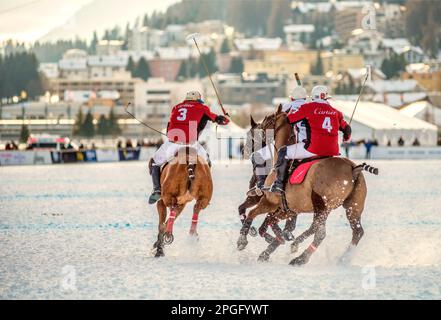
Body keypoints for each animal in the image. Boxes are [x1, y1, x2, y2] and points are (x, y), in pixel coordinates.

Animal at [235, 106, 376, 266]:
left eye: (253, 133)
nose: (244, 151)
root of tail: (353, 169)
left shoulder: (270, 202)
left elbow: (253, 215)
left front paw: (243, 241)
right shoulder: (288, 209)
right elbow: (267, 224)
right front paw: (275, 243)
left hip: (321, 204)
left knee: (320, 233)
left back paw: (300, 258)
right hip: (353, 206)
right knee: (356, 231)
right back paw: (342, 258)